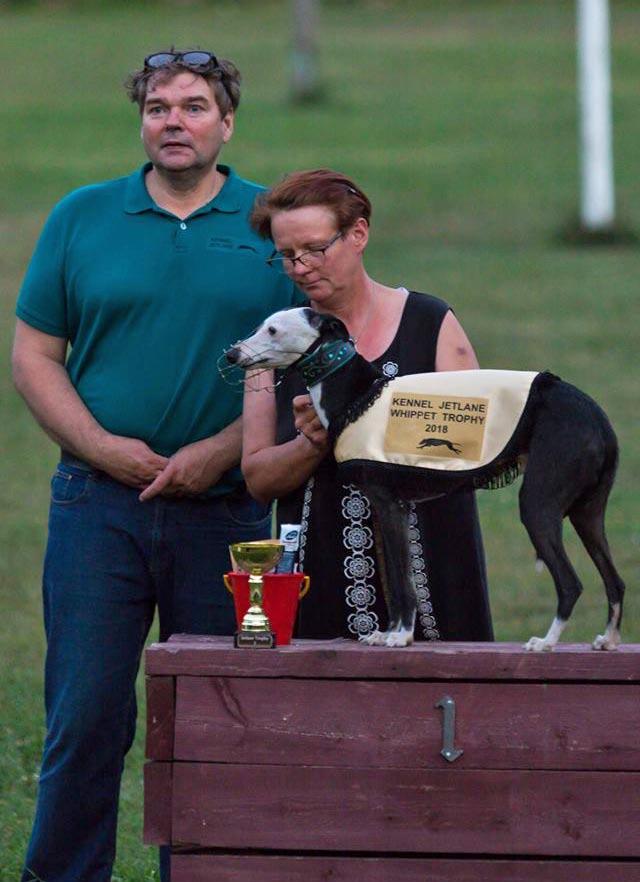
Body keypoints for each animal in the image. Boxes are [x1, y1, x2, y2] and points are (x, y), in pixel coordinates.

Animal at [225, 306, 624, 648]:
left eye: (272, 329)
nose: (232, 354)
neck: (360, 395)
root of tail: (598, 418)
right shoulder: (394, 509)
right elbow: (398, 578)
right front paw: (387, 633)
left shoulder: (388, 504)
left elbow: (403, 582)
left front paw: (399, 636)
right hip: (588, 513)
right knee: (615, 580)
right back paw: (607, 640)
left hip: (538, 504)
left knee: (571, 583)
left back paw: (546, 642)